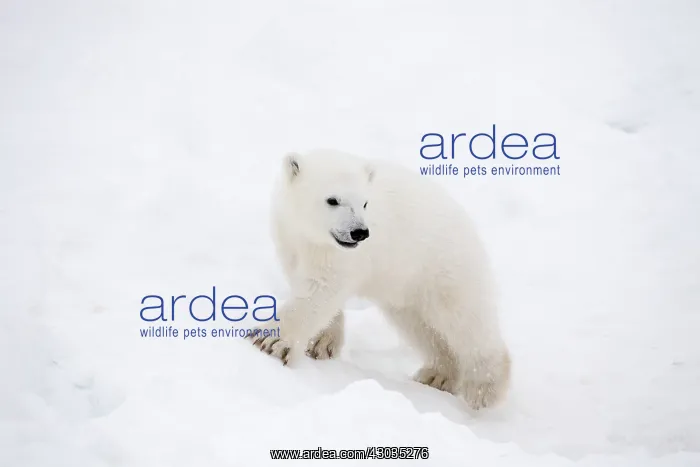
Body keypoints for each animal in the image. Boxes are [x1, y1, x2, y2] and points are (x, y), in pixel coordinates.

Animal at [249, 148, 511, 410]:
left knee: (464, 320)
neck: (312, 239)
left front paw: (270, 341)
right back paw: (437, 375)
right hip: (406, 286)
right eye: (332, 200)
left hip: (441, 266)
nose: (359, 232)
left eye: (365, 203)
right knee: (421, 327)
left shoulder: (341, 256)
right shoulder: (290, 239)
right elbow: (309, 285)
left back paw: (484, 387)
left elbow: (320, 290)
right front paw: (322, 343)